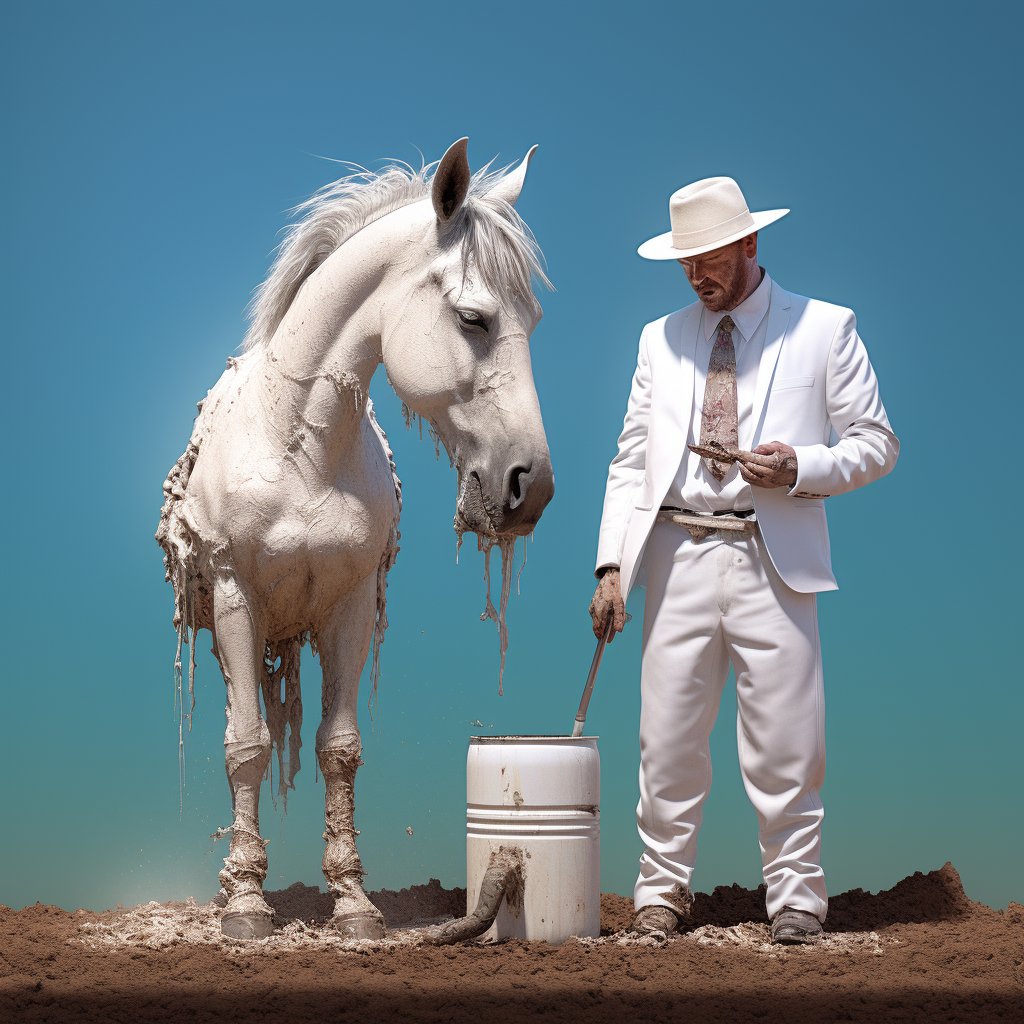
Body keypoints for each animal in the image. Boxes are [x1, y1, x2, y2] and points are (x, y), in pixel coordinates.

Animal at [154, 140, 552, 937]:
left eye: (533, 318)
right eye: (473, 318)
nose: (534, 484)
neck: (300, 449)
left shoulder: (348, 605)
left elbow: (339, 750)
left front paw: (353, 903)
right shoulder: (239, 601)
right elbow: (247, 745)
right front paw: (246, 903)